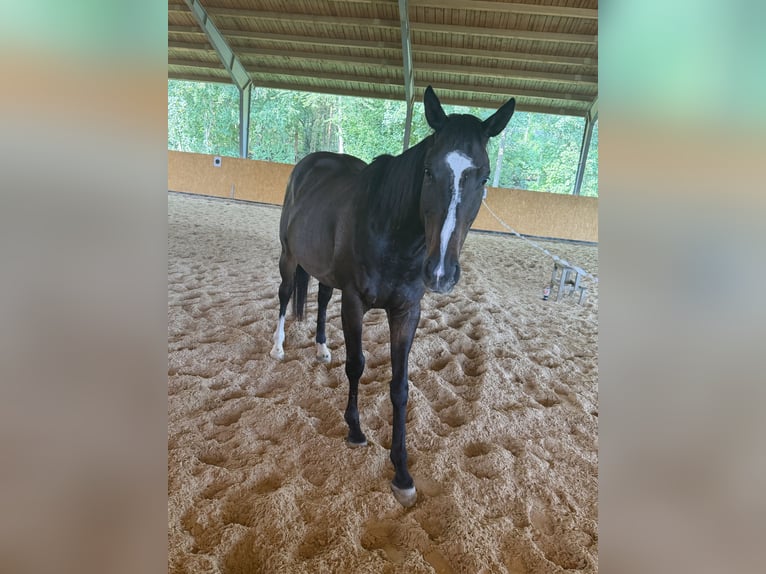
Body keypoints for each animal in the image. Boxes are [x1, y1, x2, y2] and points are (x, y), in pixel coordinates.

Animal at [270, 86, 515, 507]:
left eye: (483, 177)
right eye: (429, 171)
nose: (441, 273)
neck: (391, 229)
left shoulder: (406, 311)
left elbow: (400, 388)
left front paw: (401, 472)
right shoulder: (355, 302)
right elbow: (356, 365)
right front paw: (355, 431)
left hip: (326, 272)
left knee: (321, 298)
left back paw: (321, 347)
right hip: (290, 256)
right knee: (286, 294)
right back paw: (278, 346)